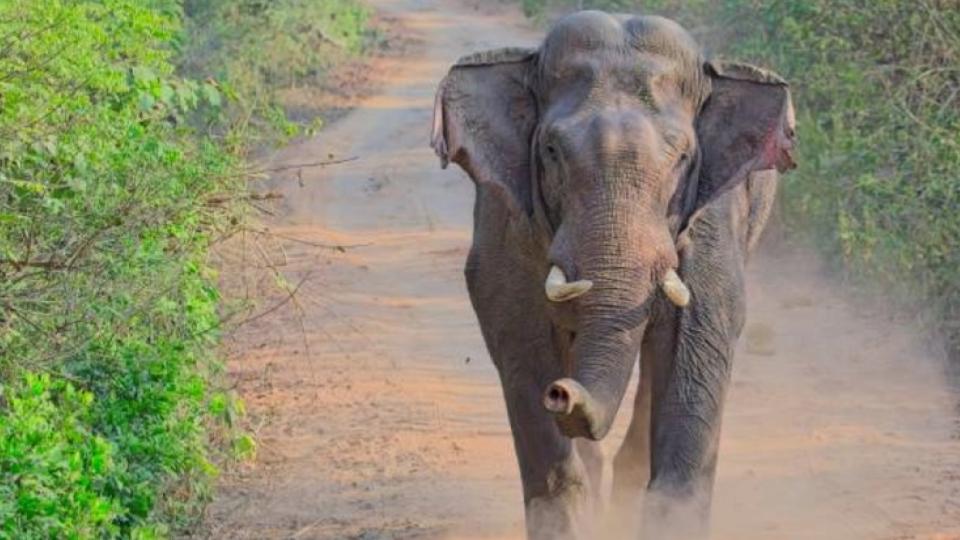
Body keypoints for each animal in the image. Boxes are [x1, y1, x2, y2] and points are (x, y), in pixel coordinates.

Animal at [431, 11, 795, 540]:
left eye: (683, 158)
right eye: (551, 150)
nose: (560, 393)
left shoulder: (713, 212)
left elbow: (701, 330)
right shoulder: (507, 211)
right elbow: (518, 329)